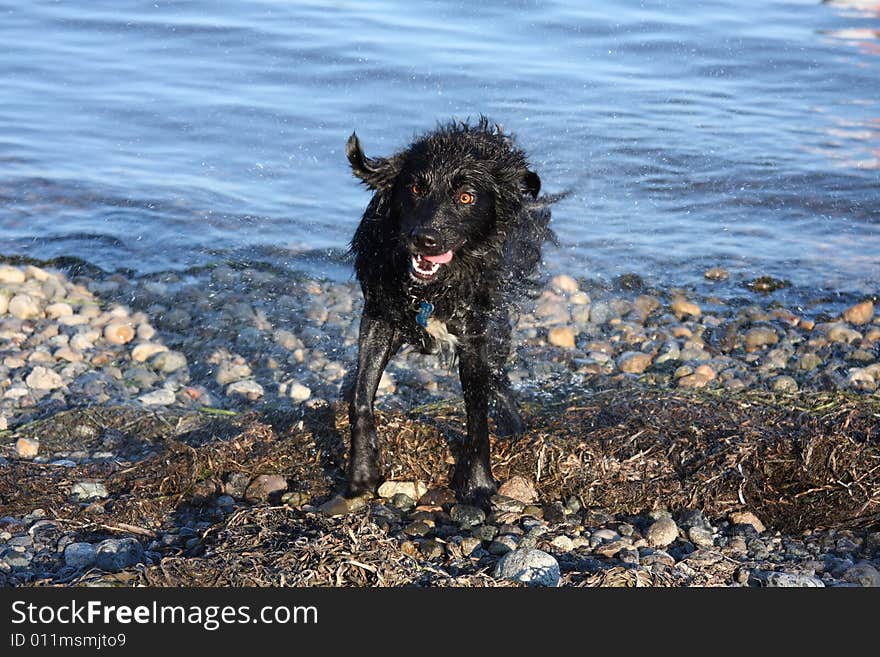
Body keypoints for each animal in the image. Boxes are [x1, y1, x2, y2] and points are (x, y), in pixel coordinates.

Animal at [348, 118, 552, 504]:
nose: (425, 239)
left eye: (466, 197)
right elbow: (361, 397)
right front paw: (362, 470)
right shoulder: (379, 317)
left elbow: (477, 415)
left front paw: (479, 484)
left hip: (497, 329)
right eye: (414, 187)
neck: (431, 290)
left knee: (500, 381)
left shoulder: (474, 333)